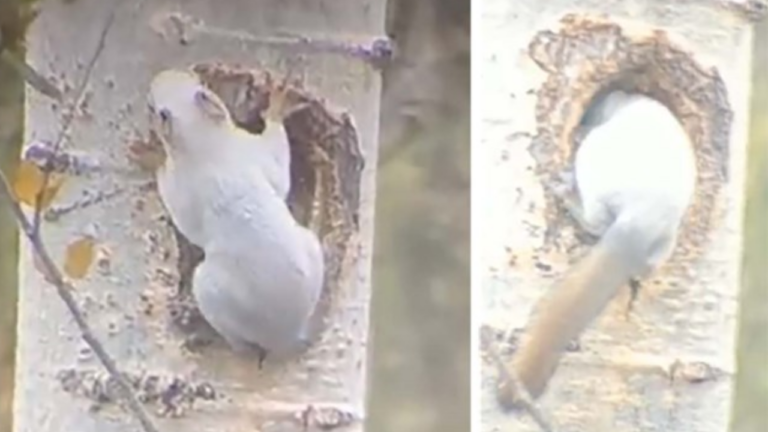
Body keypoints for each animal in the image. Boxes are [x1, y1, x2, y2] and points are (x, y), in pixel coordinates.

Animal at [147, 68, 324, 363]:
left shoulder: (183, 189)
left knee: (239, 344)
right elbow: (279, 177)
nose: (159, 77)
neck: (206, 144)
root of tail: (282, 335)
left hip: (209, 292)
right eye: (204, 88)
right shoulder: (252, 154)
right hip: (312, 246)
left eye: (154, 110)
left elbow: (182, 218)